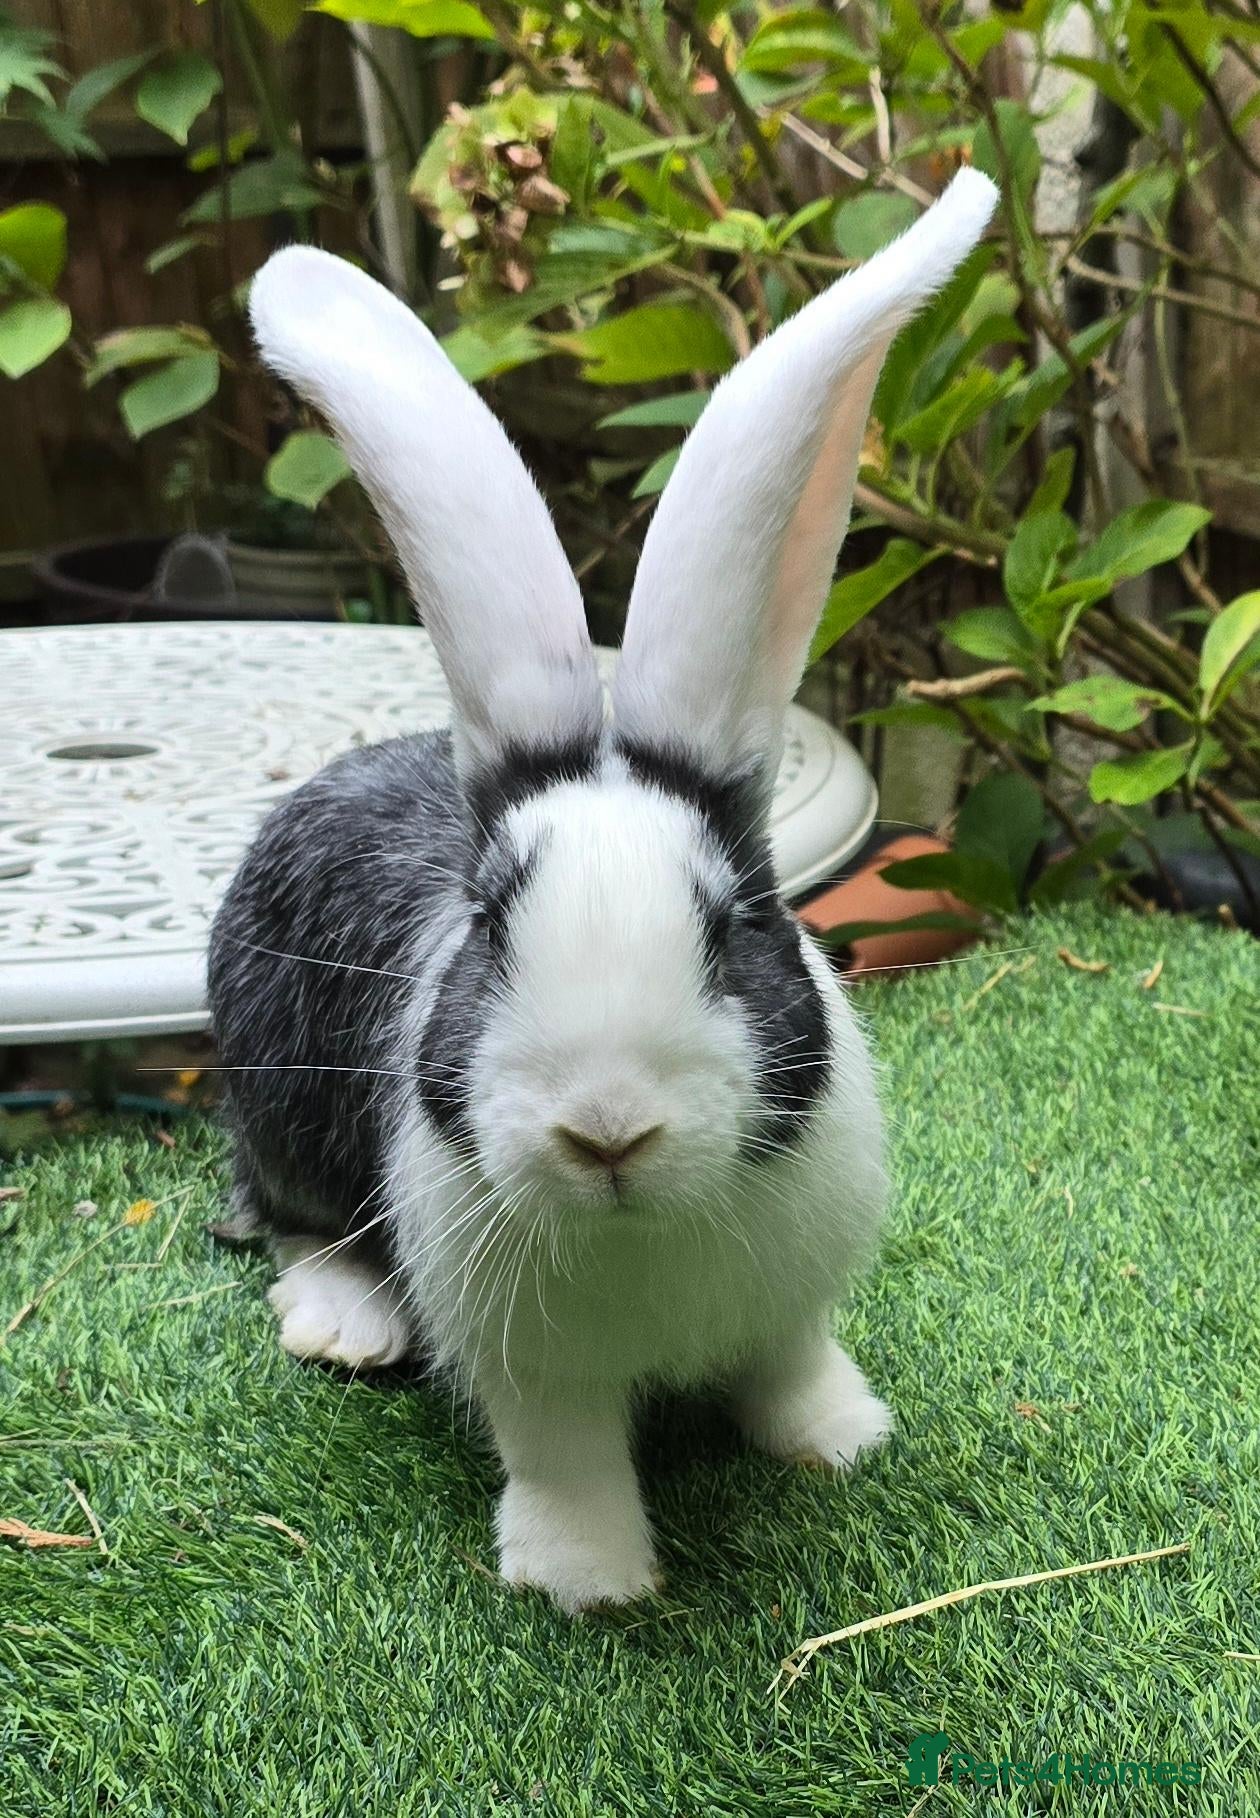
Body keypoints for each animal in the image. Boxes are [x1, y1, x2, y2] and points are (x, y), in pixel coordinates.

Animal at [207, 168, 998, 1613]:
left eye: (735, 923)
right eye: (489, 925)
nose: (608, 1130)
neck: (646, 1233)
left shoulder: (794, 1302)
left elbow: (791, 1366)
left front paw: (841, 1443)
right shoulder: (532, 1366)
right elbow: (565, 1452)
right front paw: (588, 1580)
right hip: (278, 1104)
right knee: (289, 1217)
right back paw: (346, 1325)